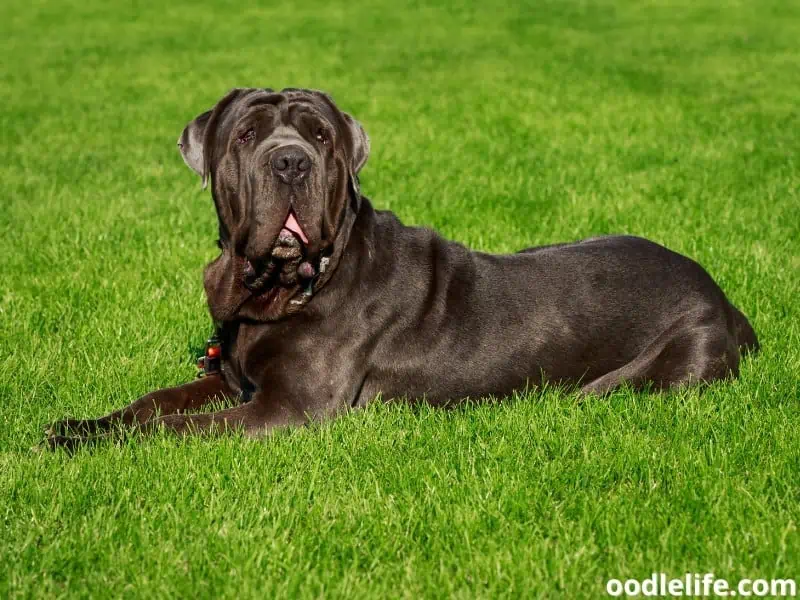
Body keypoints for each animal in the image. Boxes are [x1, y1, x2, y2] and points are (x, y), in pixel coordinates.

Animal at [42, 86, 756, 448]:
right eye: (246, 135)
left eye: (320, 136)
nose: (290, 161)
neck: (289, 286)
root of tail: (723, 297)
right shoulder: (231, 380)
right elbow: (152, 405)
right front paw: (79, 426)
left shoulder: (287, 409)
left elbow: (173, 430)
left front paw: (86, 443)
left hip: (661, 371)